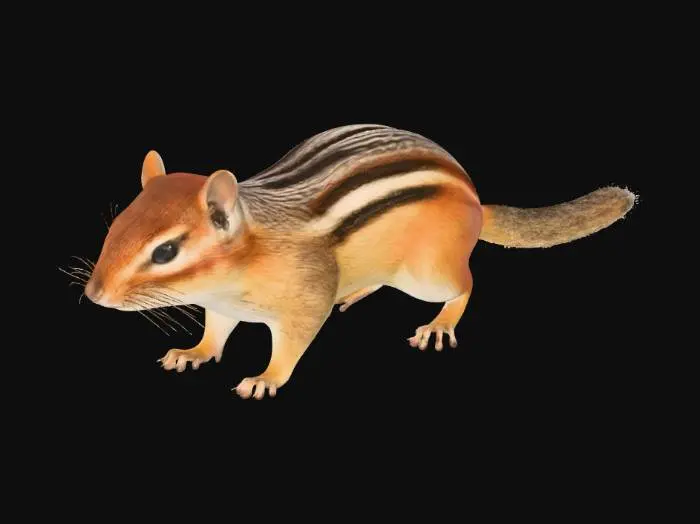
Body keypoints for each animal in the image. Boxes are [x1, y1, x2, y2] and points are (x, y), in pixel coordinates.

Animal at [80, 124, 636, 399]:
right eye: (115, 226)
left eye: (166, 252)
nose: (93, 294)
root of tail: (477, 202)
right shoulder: (221, 305)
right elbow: (215, 332)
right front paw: (192, 352)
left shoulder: (306, 297)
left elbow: (293, 342)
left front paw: (266, 378)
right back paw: (360, 289)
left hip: (427, 273)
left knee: (466, 285)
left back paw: (440, 323)